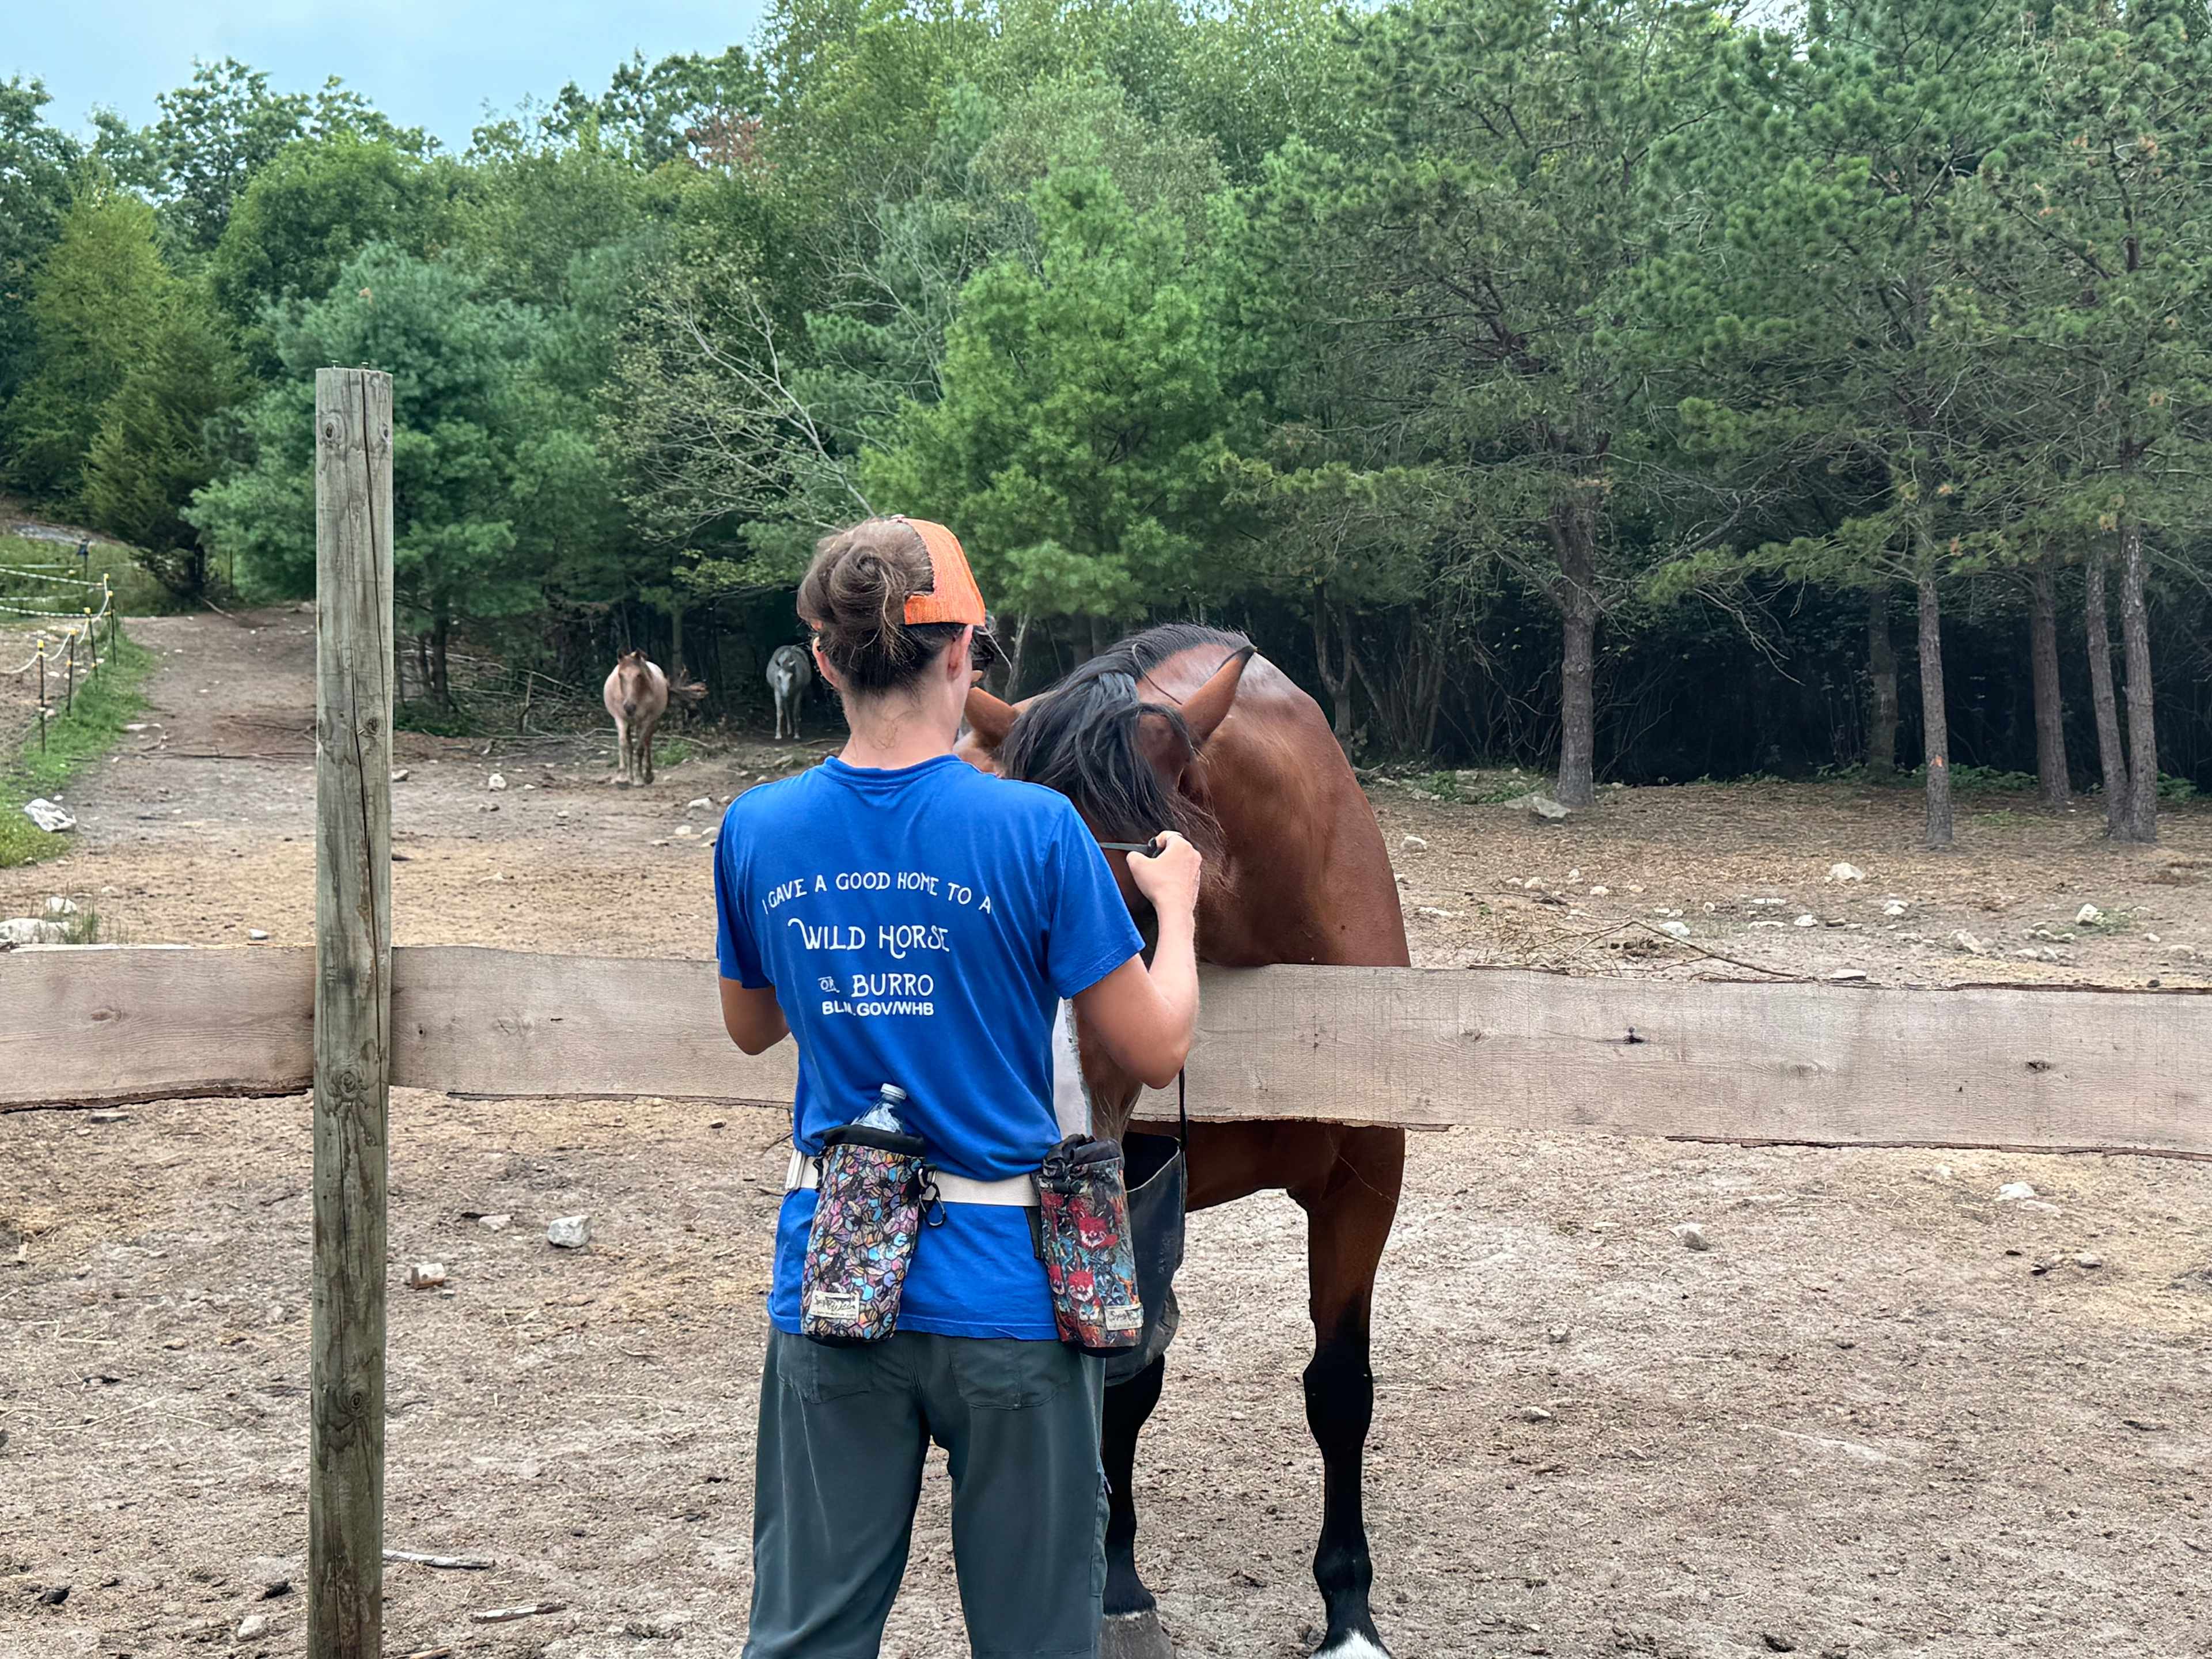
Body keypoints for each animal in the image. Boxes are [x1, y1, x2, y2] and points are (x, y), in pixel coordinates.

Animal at [602, 649, 670, 786]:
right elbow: (623, 744)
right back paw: (630, 777)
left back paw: (647, 776)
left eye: (639, 675)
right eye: (620, 675)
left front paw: (639, 779)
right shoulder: (620, 719)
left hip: (651, 722)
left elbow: (640, 749)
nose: (629, 707)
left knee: (647, 743)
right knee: (631, 746)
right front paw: (622, 777)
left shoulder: (646, 721)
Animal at [766, 643, 812, 741]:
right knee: (786, 708)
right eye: (779, 677)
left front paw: (797, 734)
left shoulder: (799, 691)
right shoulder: (777, 691)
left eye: (791, 677)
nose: (785, 694)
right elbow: (779, 712)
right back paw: (789, 730)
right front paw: (778, 735)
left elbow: (795, 712)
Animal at [959, 623, 1408, 1659]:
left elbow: (1341, 1389)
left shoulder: (1364, 1187)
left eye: (1129, 908)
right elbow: (1125, 1384)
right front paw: (1117, 1585)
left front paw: (1349, 1615)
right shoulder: (1132, 1177)